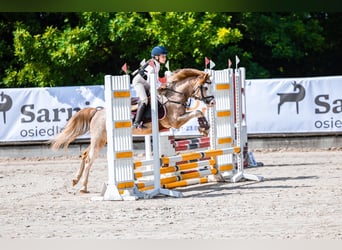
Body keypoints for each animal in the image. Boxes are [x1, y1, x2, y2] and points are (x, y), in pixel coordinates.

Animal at [49, 68, 215, 193]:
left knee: (84, 154)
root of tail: (97, 112)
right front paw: (204, 128)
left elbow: (197, 112)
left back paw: (75, 180)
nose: (212, 102)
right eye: (206, 87)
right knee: (90, 158)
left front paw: (204, 128)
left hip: (102, 139)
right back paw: (83, 187)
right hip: (99, 139)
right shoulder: (175, 122)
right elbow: (197, 112)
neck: (174, 96)